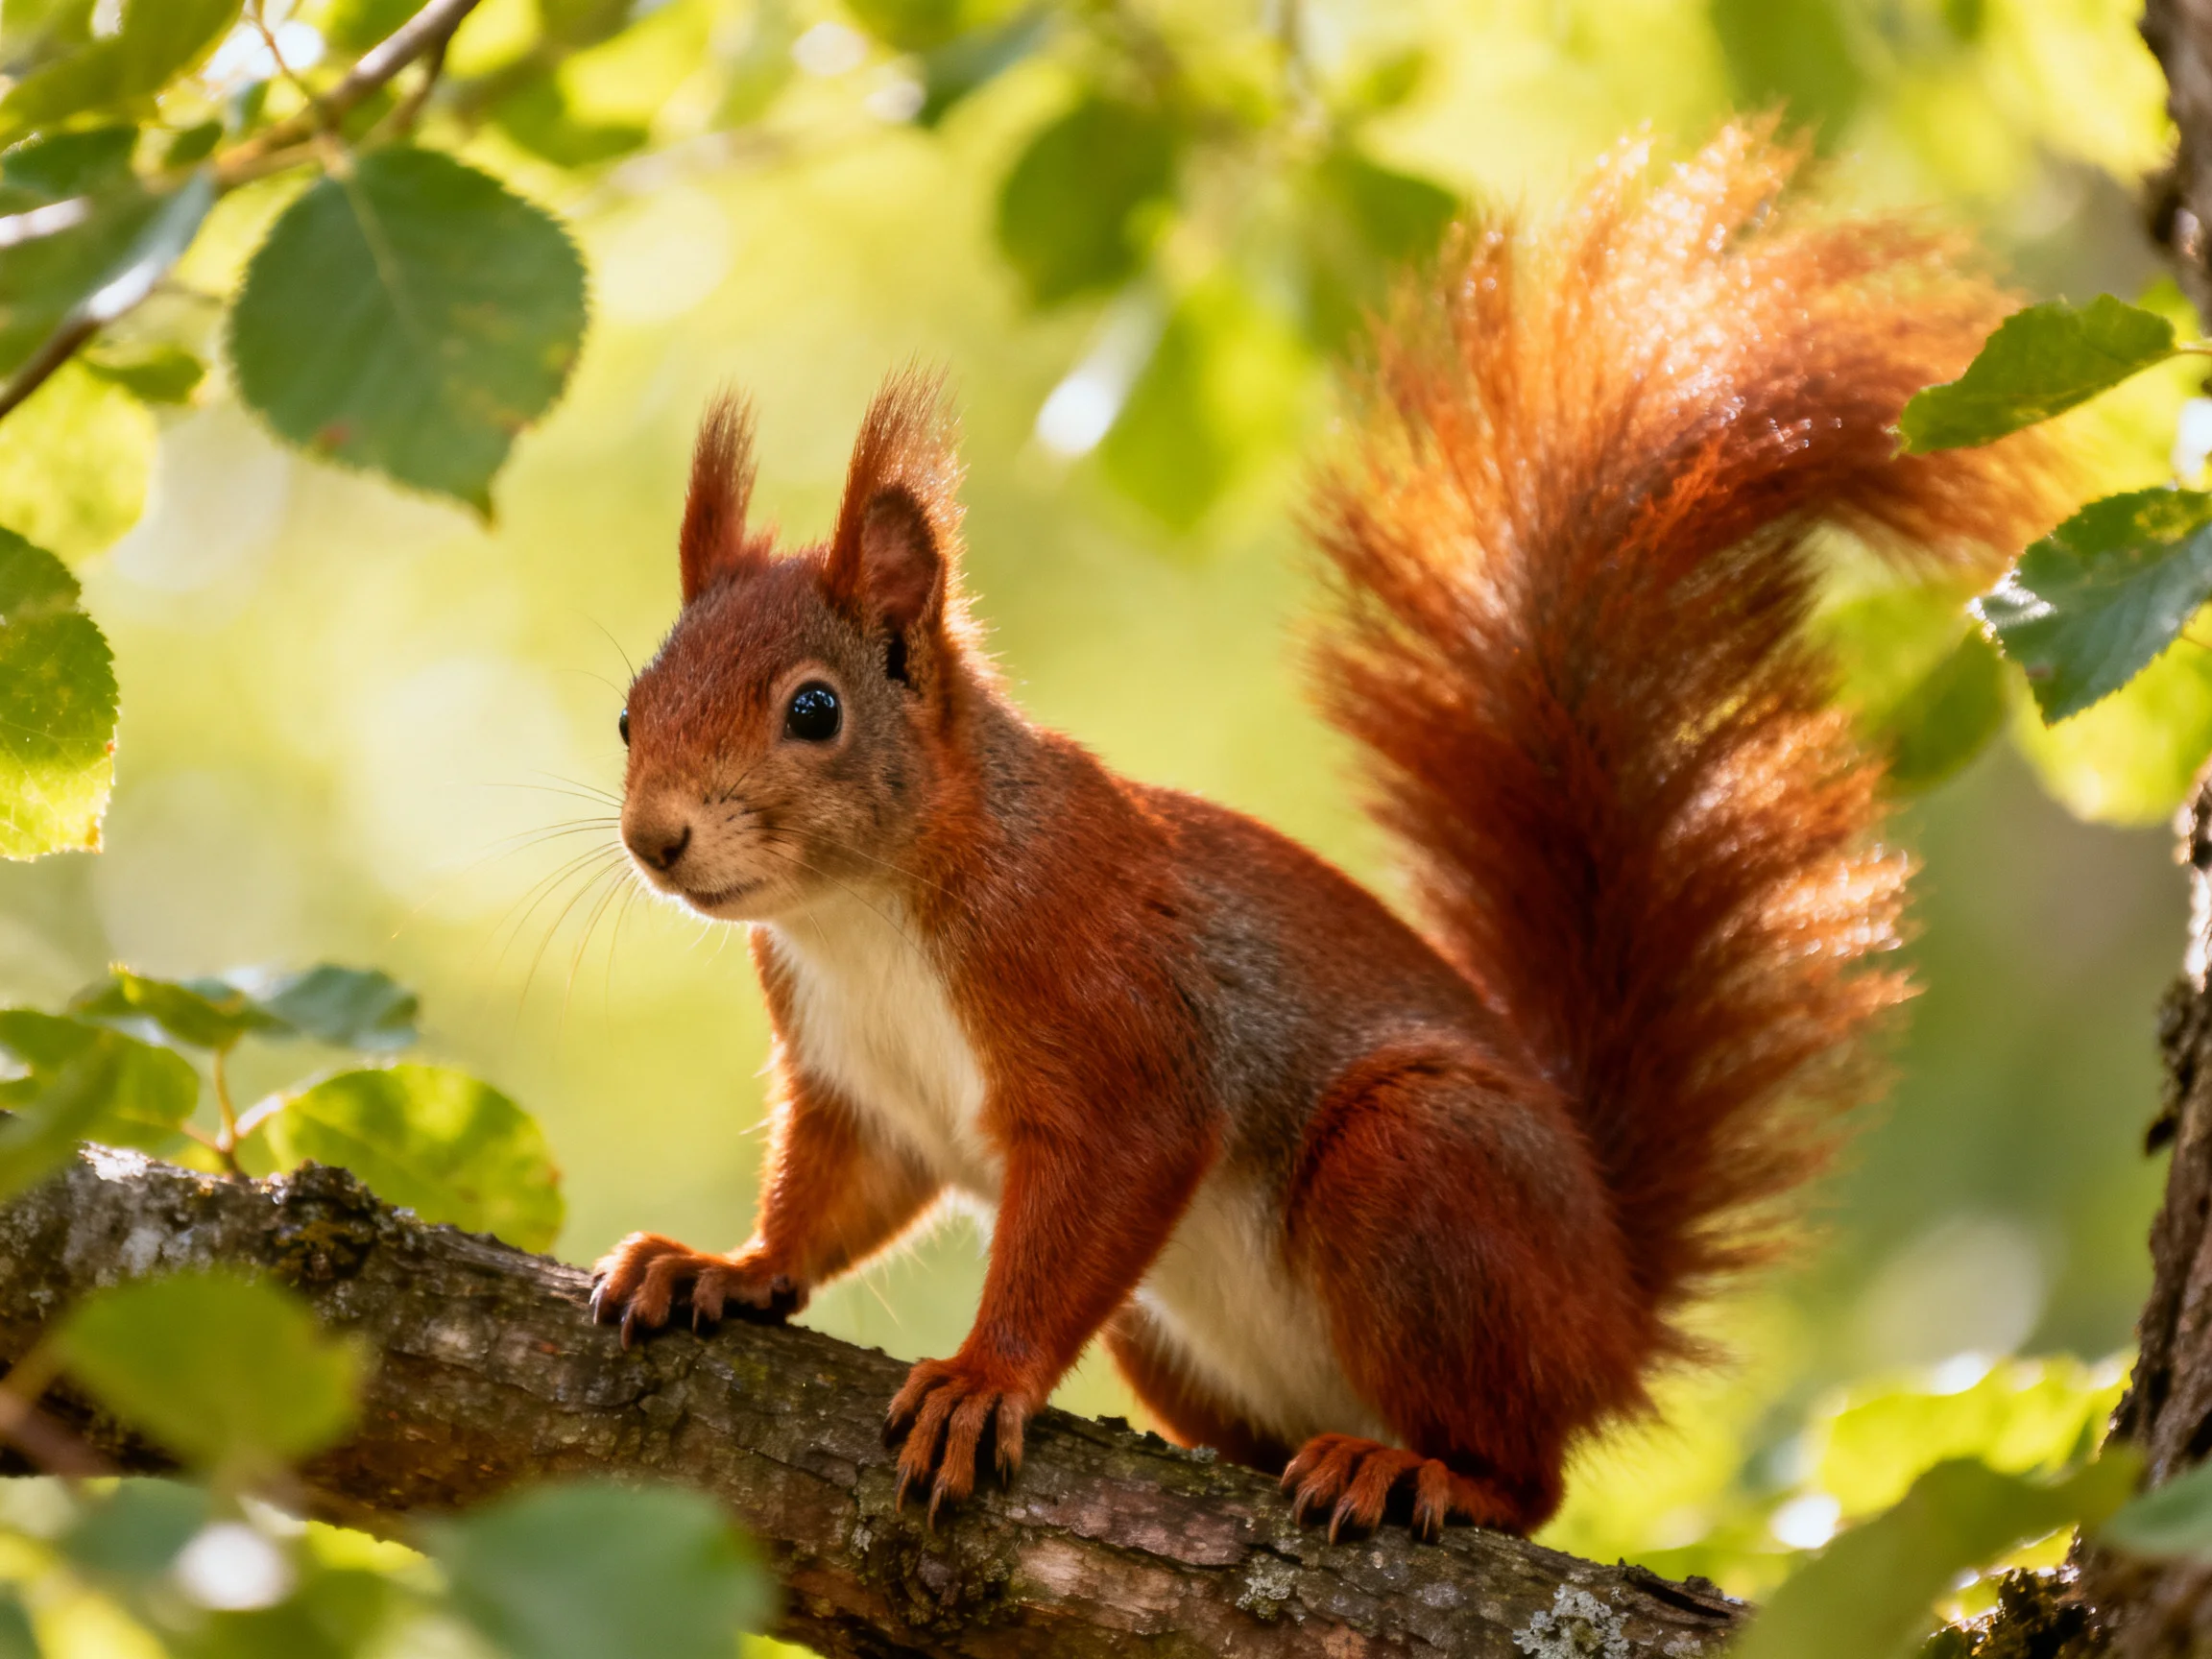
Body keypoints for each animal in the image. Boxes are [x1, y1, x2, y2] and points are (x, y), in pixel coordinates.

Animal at [589, 124, 2057, 1539]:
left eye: (815, 709)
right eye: (627, 713)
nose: (657, 839)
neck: (866, 909)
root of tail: (1612, 1313)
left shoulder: (1110, 1011)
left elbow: (1104, 1183)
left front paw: (982, 1378)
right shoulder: (858, 1085)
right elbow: (835, 1200)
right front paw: (723, 1266)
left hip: (1419, 1168)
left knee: (1531, 1478)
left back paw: (1420, 1473)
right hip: (1177, 1326)